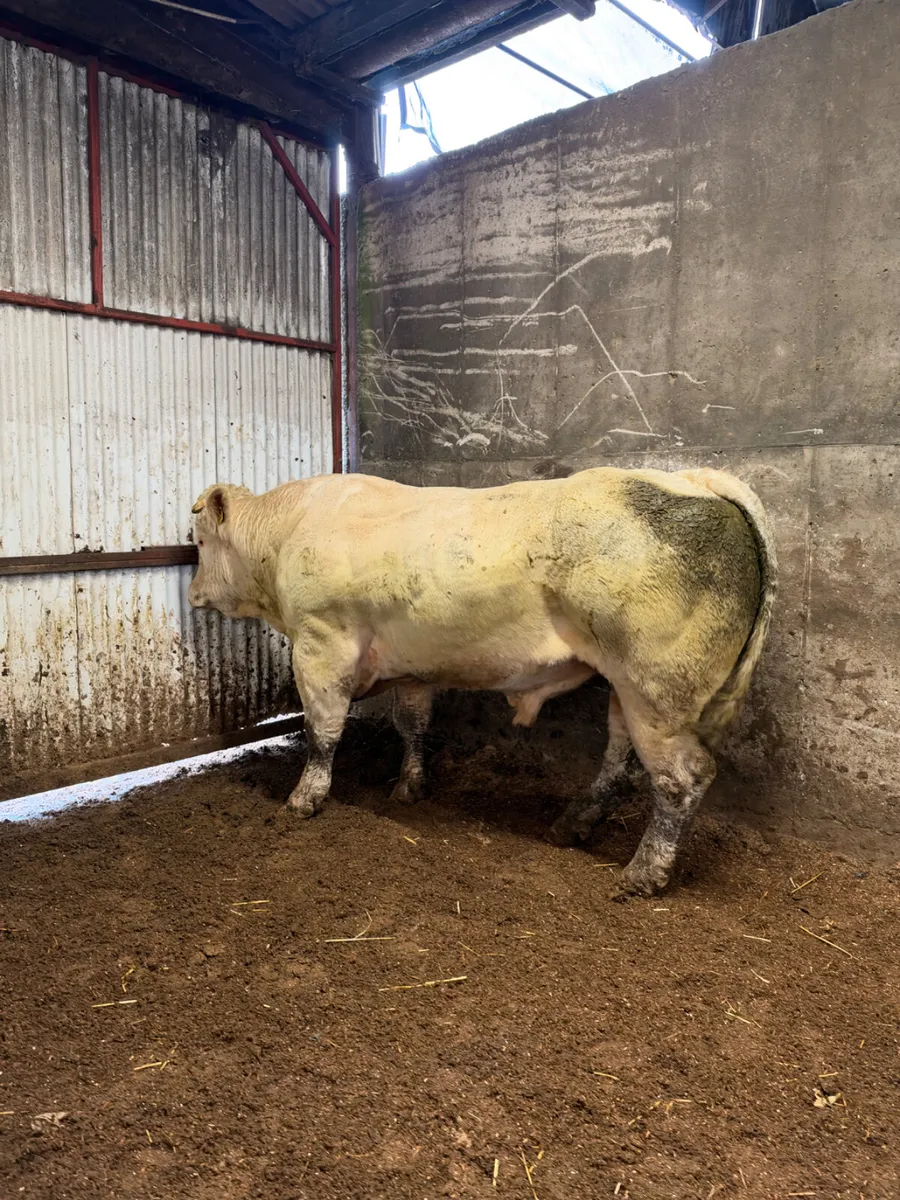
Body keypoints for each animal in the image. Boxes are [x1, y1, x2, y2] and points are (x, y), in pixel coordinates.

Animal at [188, 466, 776, 896]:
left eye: (198, 541)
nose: (192, 593)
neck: (287, 533)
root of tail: (690, 478)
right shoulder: (413, 666)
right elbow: (413, 725)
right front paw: (410, 786)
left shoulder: (320, 642)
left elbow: (322, 732)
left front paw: (305, 798)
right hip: (627, 690)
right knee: (619, 760)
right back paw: (573, 824)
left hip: (657, 691)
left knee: (683, 778)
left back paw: (644, 873)